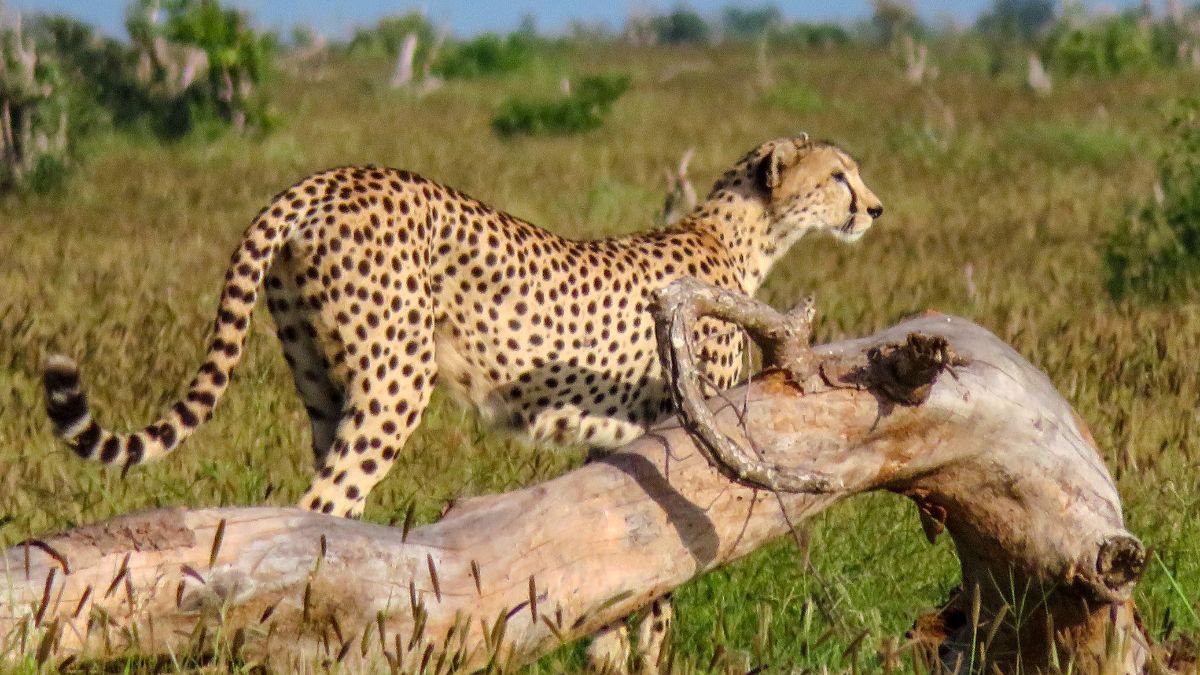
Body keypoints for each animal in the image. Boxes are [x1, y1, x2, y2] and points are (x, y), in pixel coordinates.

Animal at [44, 135, 883, 514]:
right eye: (839, 176)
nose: (875, 208)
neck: (734, 236)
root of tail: (323, 178)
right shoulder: (691, 424)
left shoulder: (624, 439)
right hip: (395, 381)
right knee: (325, 501)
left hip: (321, 383)